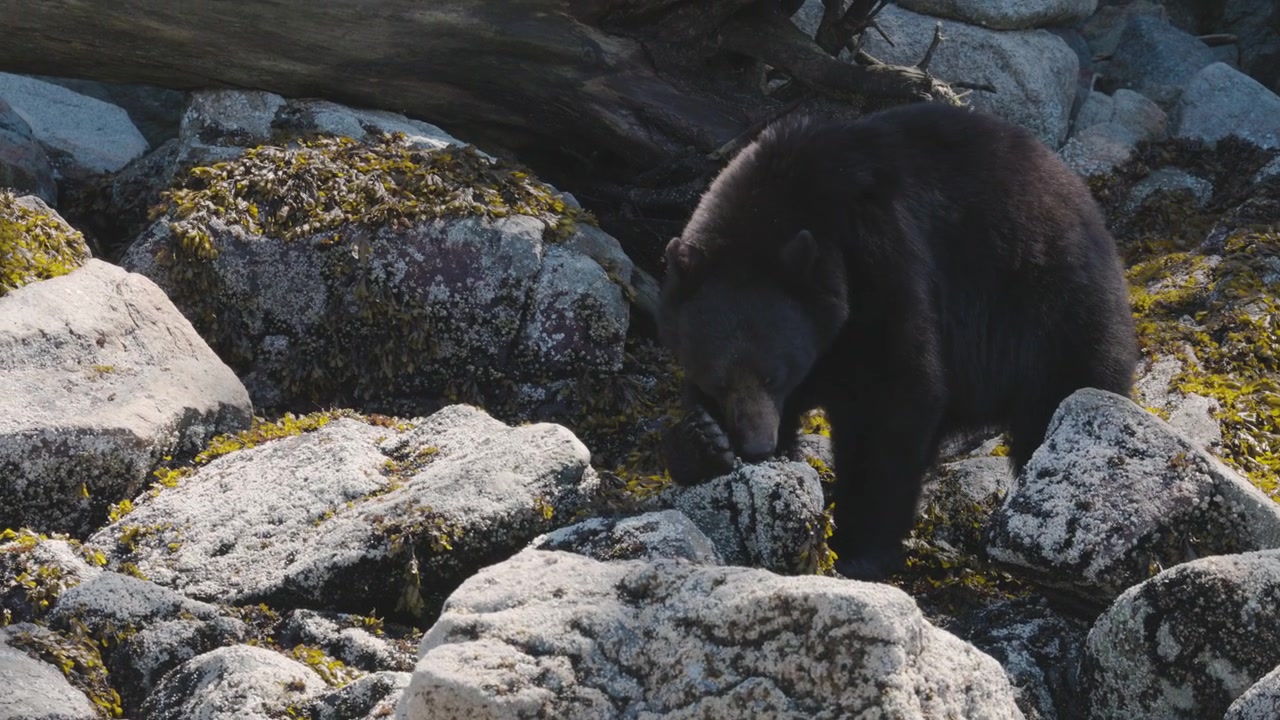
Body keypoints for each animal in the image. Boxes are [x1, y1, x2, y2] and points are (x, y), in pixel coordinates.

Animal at [657, 101, 1140, 581]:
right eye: (719, 381)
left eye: (774, 376)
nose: (757, 446)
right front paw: (703, 440)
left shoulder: (882, 260)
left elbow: (898, 391)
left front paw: (861, 546)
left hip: (1053, 312)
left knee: (1064, 398)